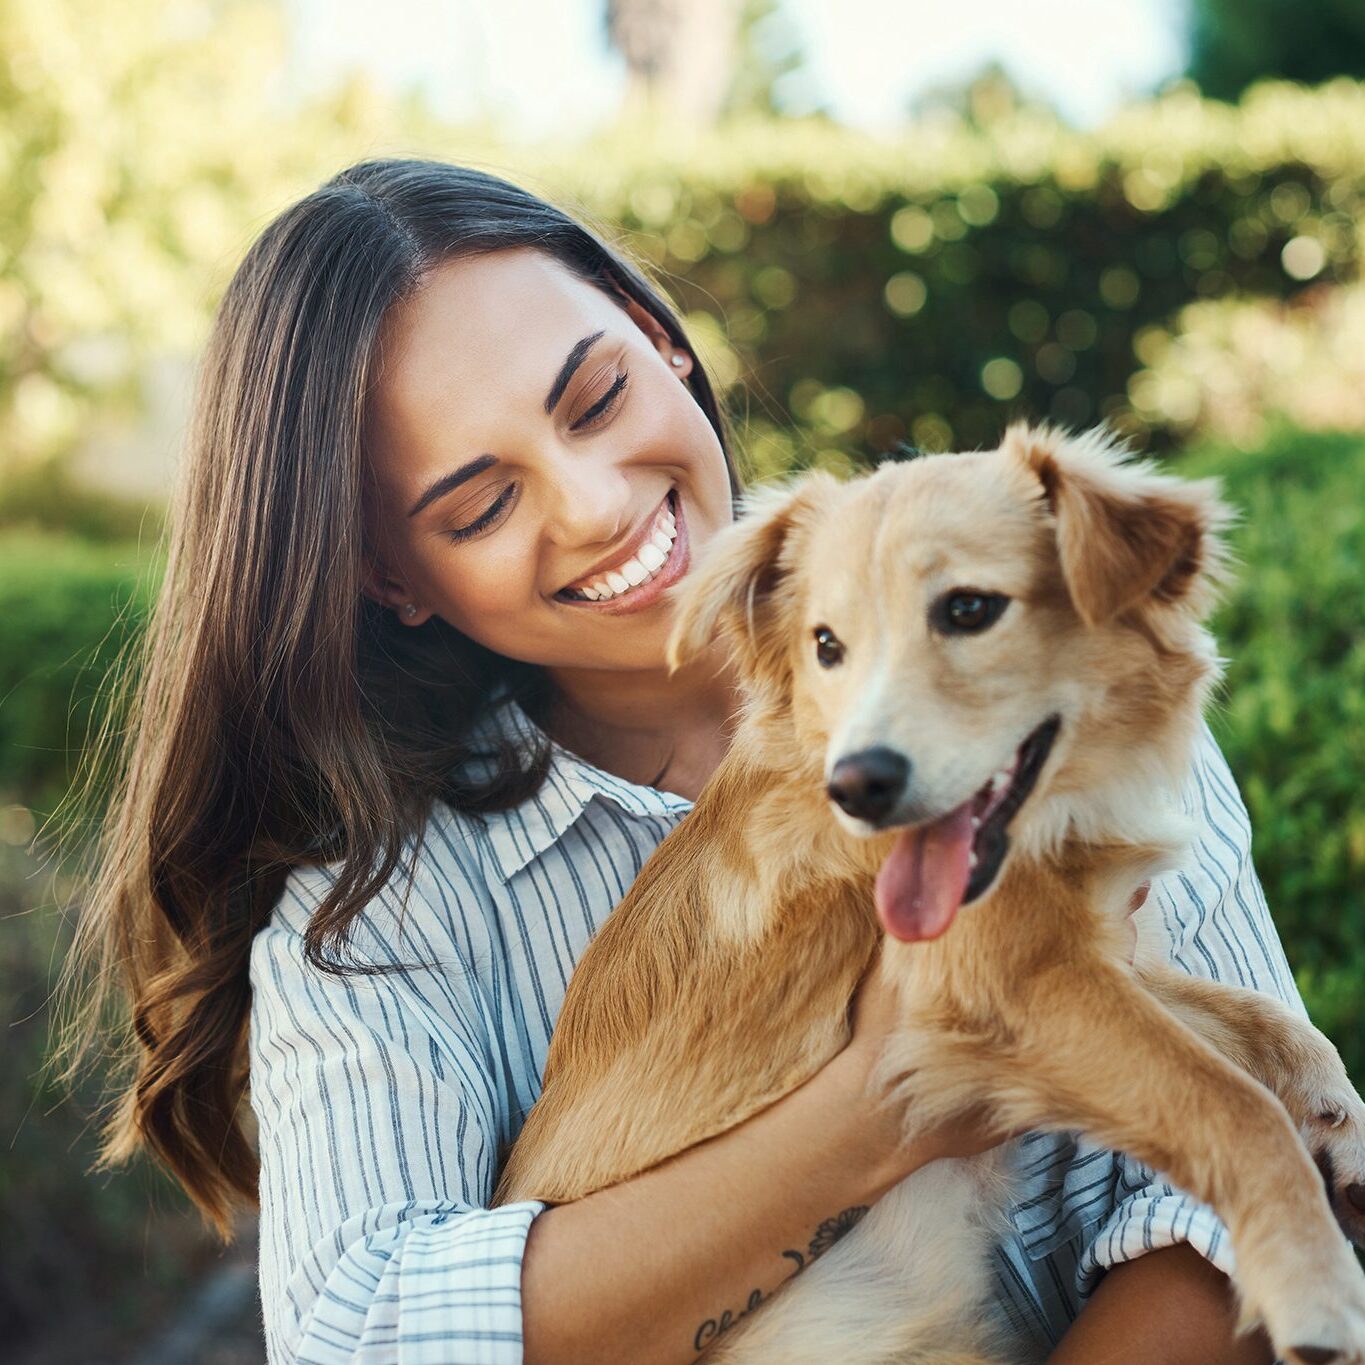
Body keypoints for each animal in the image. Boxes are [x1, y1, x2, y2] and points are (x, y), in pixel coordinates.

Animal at [499, 425, 1365, 1365]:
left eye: (968, 610)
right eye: (825, 645)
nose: (857, 785)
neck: (1055, 809)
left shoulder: (1091, 955)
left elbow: (1262, 1021)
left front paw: (1340, 1123)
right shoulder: (1007, 986)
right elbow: (1229, 1102)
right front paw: (1312, 1283)